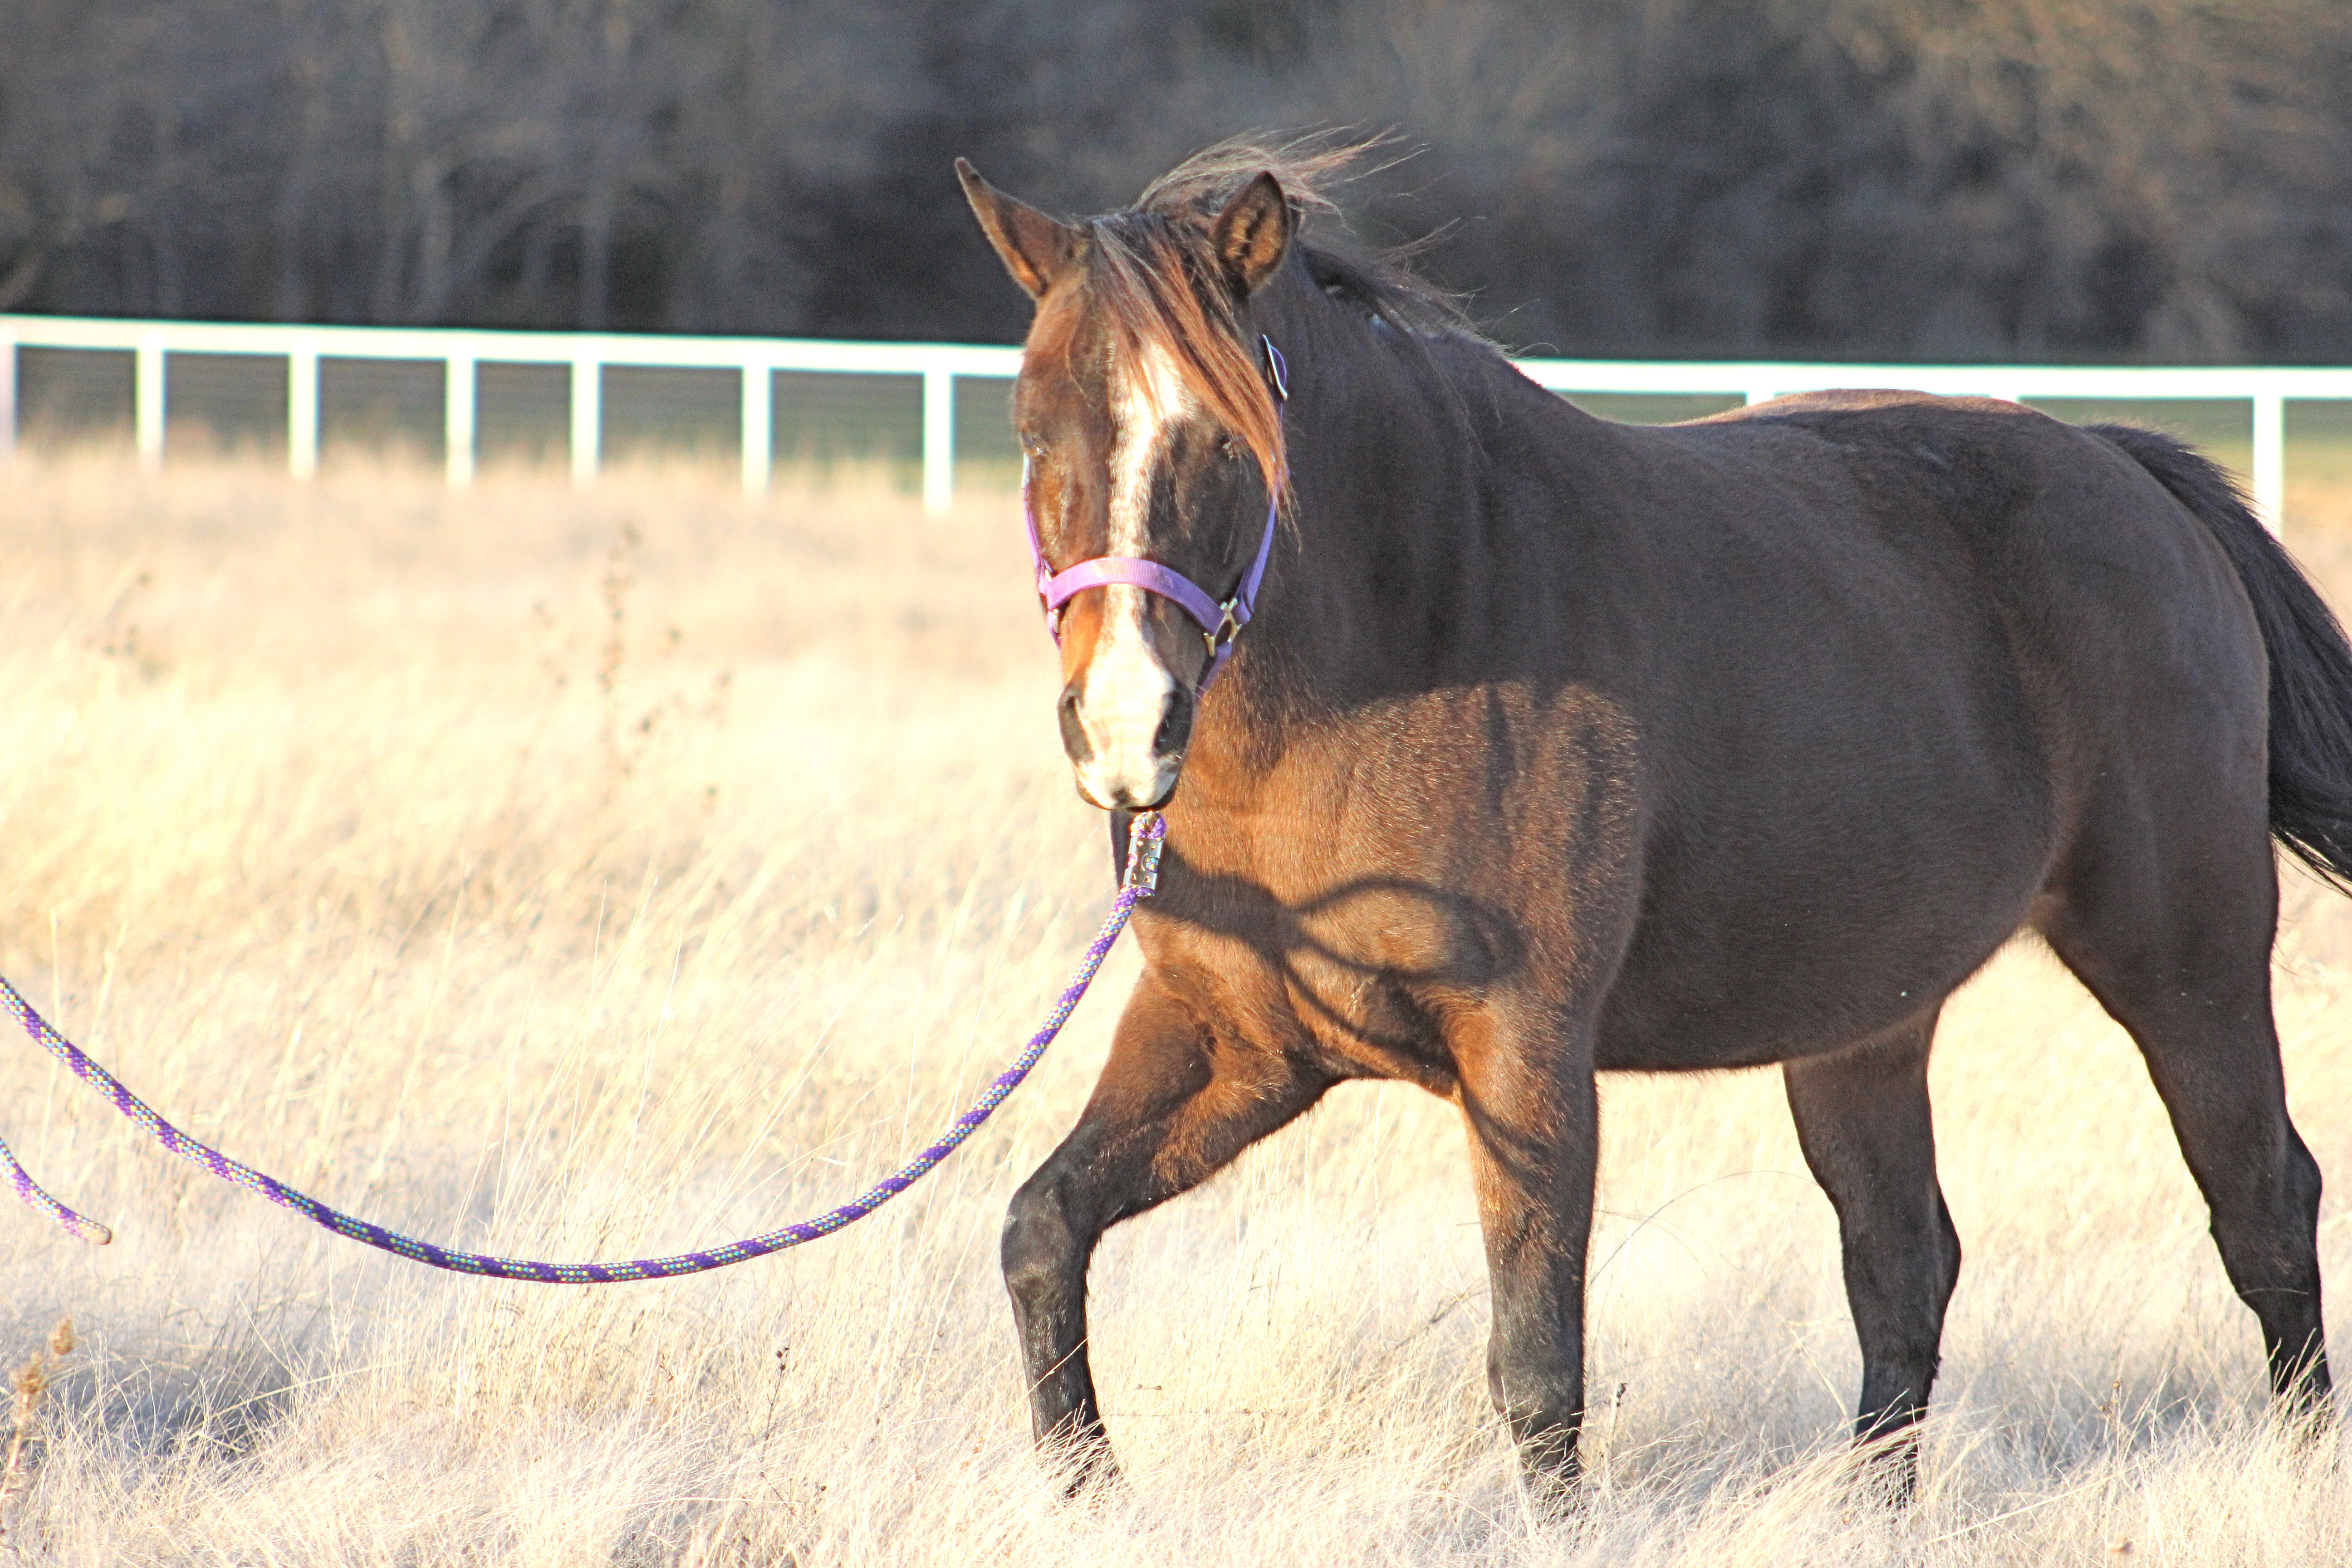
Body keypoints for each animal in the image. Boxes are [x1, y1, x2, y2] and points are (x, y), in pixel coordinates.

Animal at [945, 138, 2342, 1495]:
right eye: (1030, 431)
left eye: (1230, 440)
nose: (1126, 725)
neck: (1406, 649)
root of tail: (2129, 471)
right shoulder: (1240, 1038)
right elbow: (1040, 1230)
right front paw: (1086, 1489)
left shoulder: (1526, 1052)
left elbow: (1536, 1365)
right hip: (1864, 1023)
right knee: (1901, 1261)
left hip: (2184, 968)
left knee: (2262, 1206)